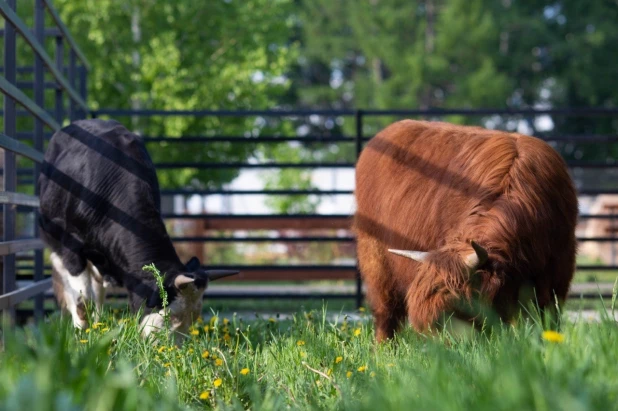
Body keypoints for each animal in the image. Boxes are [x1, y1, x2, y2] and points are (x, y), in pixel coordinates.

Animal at [38, 118, 236, 338]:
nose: (172, 348)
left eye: (193, 318)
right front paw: (81, 332)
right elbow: (82, 299)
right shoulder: (72, 247)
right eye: (171, 317)